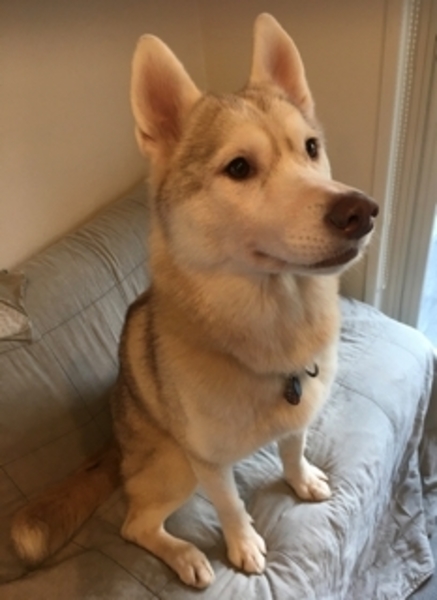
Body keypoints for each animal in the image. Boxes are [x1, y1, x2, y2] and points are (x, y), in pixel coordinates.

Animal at [11, 13, 378, 589]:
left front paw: (299, 478)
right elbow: (229, 506)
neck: (274, 320)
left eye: (311, 148)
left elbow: (293, 448)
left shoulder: (297, 418)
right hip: (173, 465)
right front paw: (243, 544)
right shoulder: (207, 462)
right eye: (239, 168)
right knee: (135, 526)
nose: (360, 212)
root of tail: (116, 443)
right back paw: (184, 555)